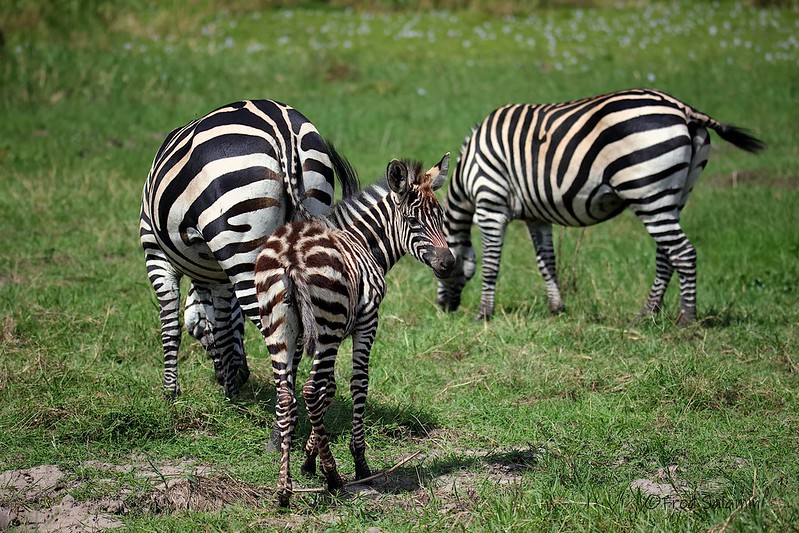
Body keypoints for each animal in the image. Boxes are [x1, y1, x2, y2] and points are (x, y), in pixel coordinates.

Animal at [141, 100, 360, 400]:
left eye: (197, 332)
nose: (241, 375)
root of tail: (282, 129)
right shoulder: (219, 277)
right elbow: (223, 324)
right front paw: (230, 388)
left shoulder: (155, 252)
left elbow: (171, 324)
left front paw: (170, 391)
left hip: (242, 247)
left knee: (283, 329)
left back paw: (288, 404)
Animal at [256, 153, 456, 502]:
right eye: (414, 222)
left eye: (441, 218)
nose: (449, 264)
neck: (363, 242)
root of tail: (292, 250)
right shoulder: (365, 322)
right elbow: (356, 384)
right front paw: (357, 462)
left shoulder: (316, 336)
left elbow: (328, 389)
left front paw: (309, 458)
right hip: (326, 327)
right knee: (309, 390)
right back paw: (335, 477)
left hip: (280, 330)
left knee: (286, 396)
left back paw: (284, 489)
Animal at [438, 88, 768, 322]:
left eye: (440, 267)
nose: (442, 308)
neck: (467, 174)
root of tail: (682, 108)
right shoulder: (536, 215)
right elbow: (547, 262)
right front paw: (556, 308)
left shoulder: (491, 205)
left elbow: (491, 264)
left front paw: (484, 313)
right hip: (675, 194)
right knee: (667, 254)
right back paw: (647, 314)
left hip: (648, 192)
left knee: (683, 253)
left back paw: (687, 319)